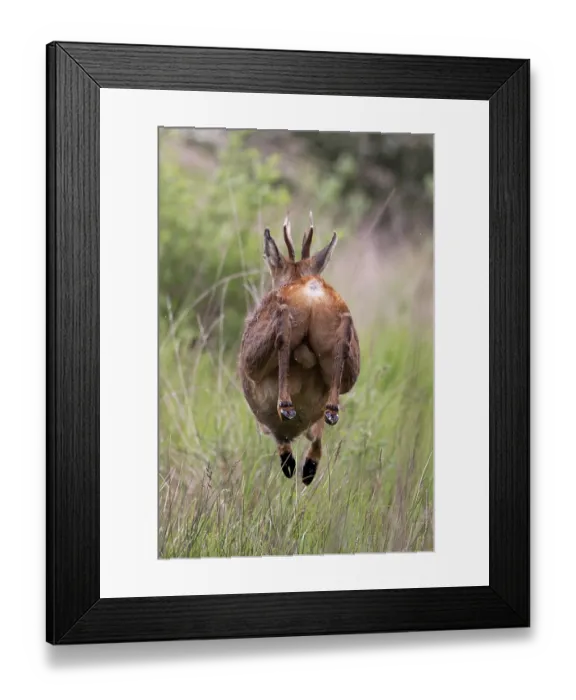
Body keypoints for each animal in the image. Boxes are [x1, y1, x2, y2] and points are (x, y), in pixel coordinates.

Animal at [238, 213, 360, 486]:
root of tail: (311, 288)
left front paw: (298, 466)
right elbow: (316, 436)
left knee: (283, 330)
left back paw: (286, 408)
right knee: (343, 336)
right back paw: (331, 413)